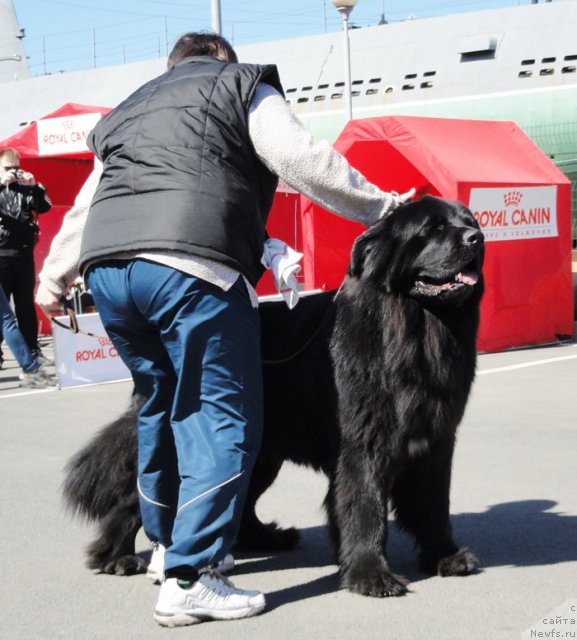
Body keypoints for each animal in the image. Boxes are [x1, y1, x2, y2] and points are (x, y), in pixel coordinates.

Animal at [63, 195, 484, 596]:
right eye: (432, 229)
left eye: (471, 222)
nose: (476, 239)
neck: (417, 331)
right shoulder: (364, 442)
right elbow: (366, 506)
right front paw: (371, 575)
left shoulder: (435, 442)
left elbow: (433, 504)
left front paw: (445, 557)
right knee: (137, 499)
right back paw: (115, 557)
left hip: (260, 449)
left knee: (242, 498)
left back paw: (266, 537)